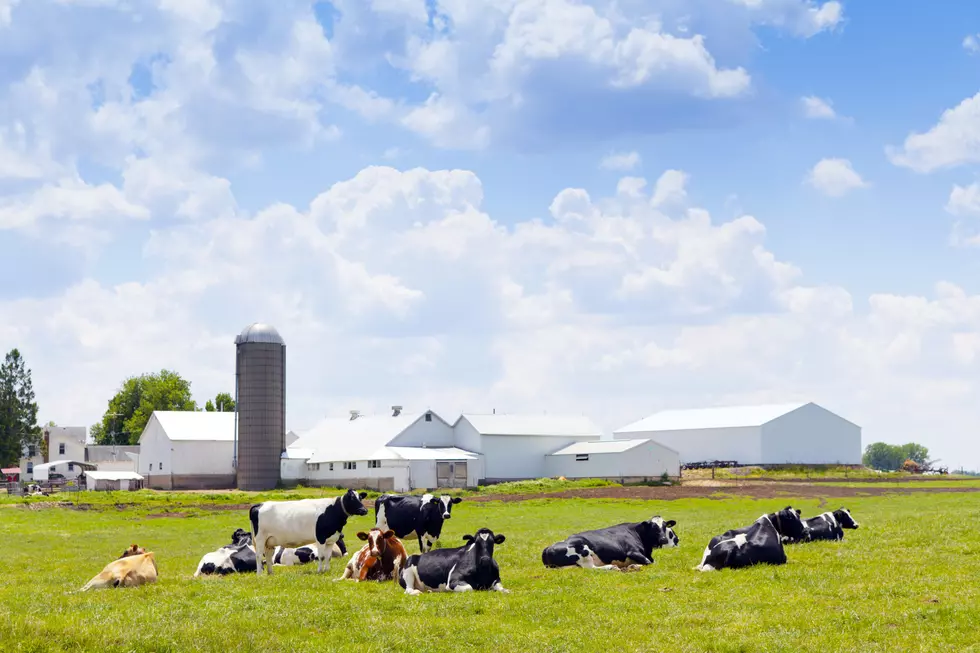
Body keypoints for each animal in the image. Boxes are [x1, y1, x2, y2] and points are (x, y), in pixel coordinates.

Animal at [540, 516, 676, 572]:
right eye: (653, 527)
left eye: (664, 526)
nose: (663, 539)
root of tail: (548, 548)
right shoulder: (632, 551)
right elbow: (650, 563)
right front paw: (634, 566)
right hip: (584, 551)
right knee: (590, 568)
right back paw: (612, 567)